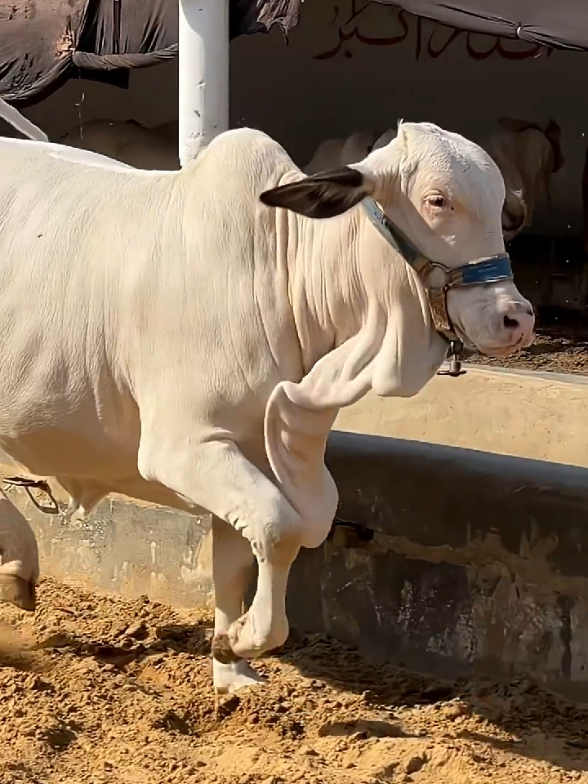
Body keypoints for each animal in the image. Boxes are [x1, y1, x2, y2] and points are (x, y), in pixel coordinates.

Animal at [0, 117, 534, 693]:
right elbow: (281, 528)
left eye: (500, 203)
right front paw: (244, 640)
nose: (515, 318)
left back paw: (18, 569)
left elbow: (239, 559)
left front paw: (231, 666)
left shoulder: (249, 447)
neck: (279, 269)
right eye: (438, 200)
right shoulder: (181, 447)